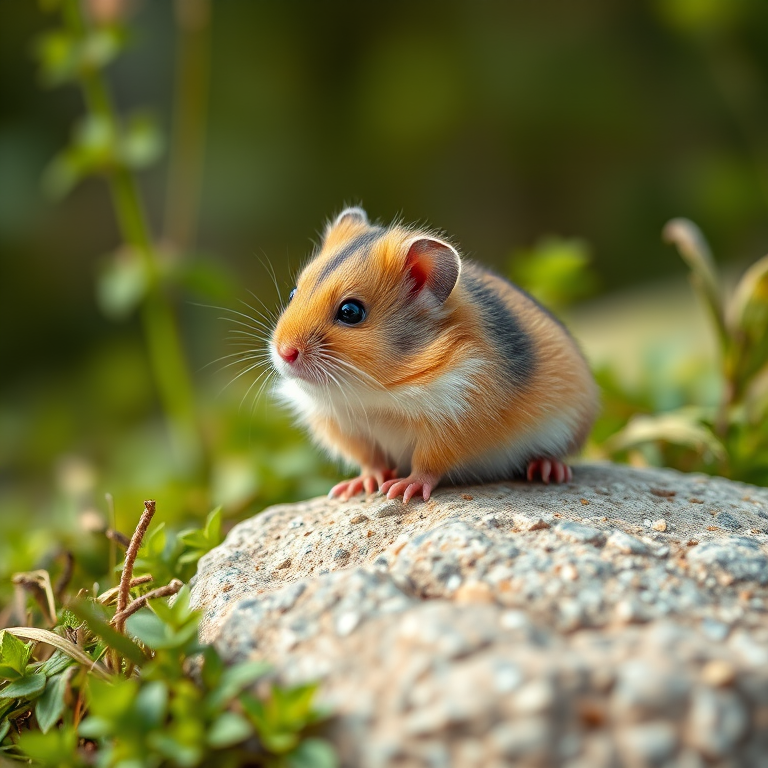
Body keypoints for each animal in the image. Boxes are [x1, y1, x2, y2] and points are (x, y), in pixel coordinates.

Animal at [270, 207, 599, 503]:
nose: (285, 352)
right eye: (293, 293)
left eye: (351, 312)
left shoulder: (456, 420)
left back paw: (549, 471)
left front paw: (401, 490)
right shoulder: (345, 429)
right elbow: (370, 461)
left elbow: (427, 463)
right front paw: (356, 487)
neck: (371, 392)